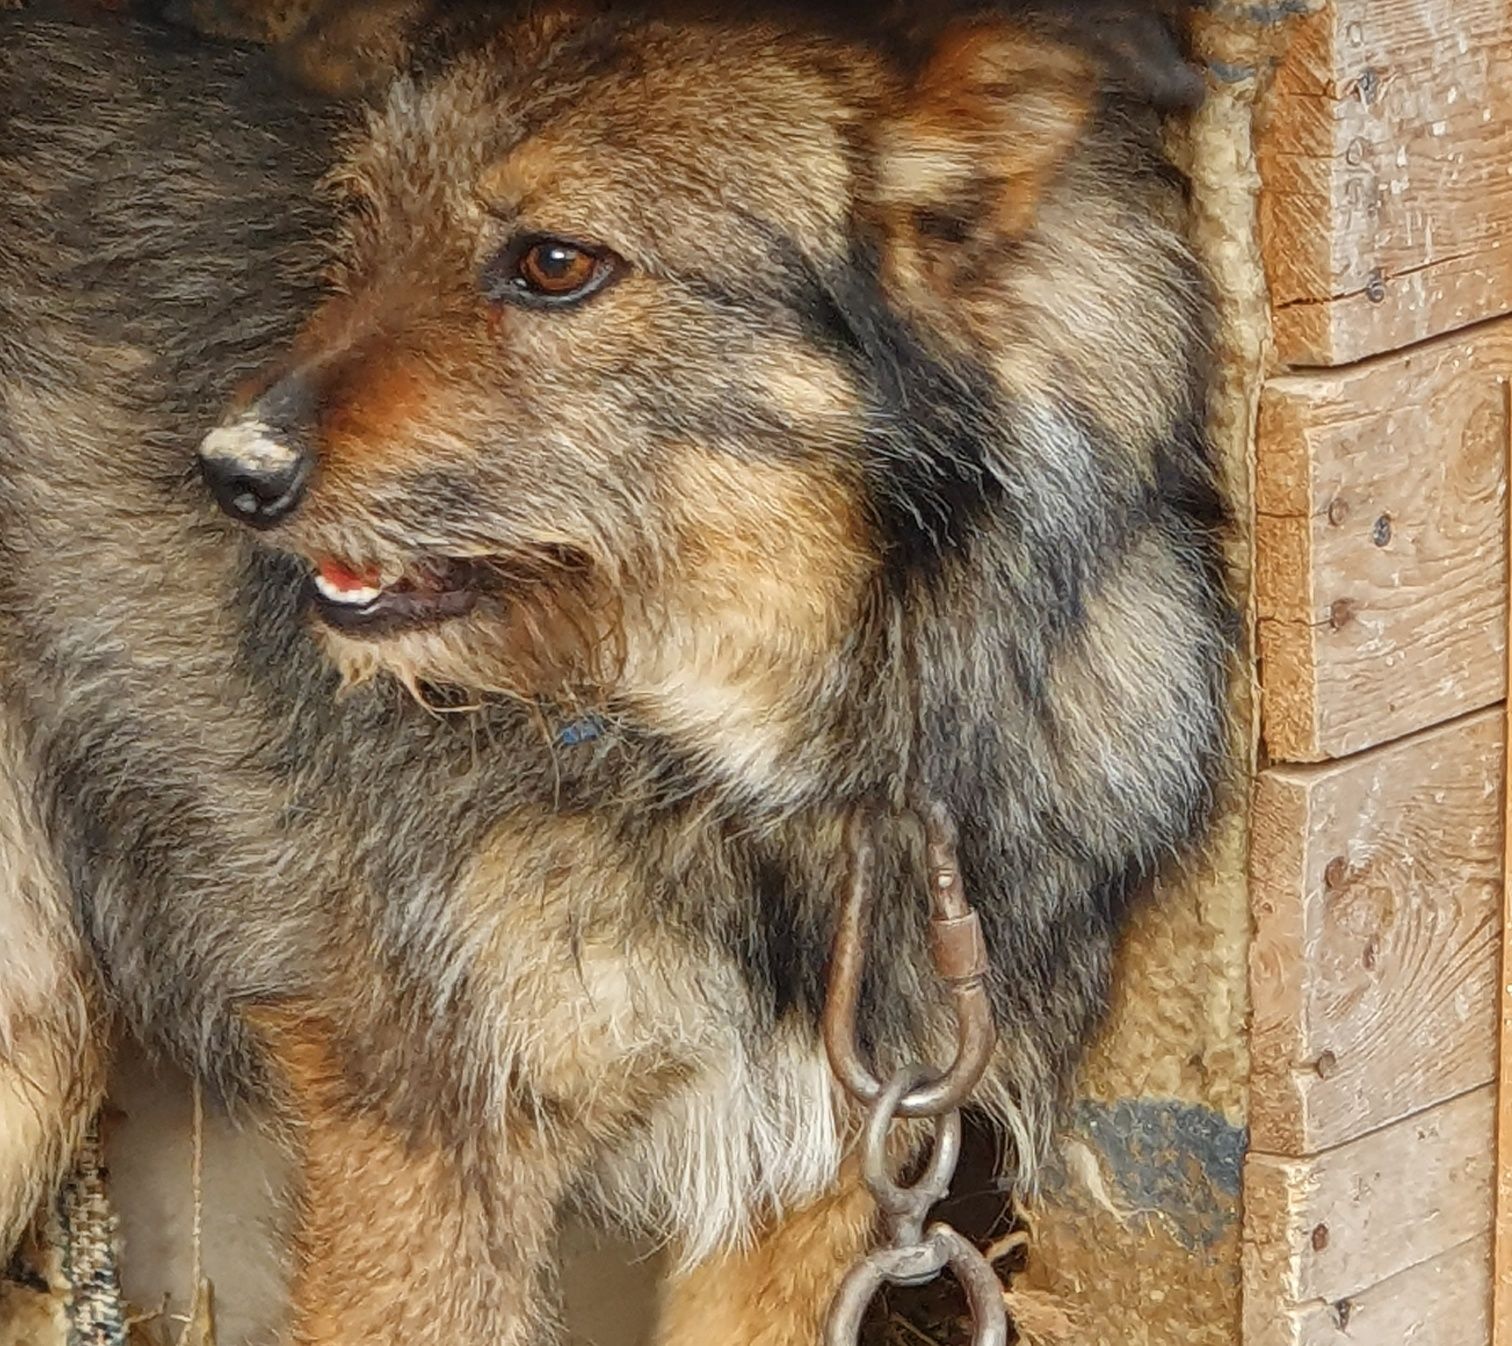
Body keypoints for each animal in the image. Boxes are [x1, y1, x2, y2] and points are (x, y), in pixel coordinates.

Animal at [0, 5, 1227, 1336]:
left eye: (554, 263)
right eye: (367, 217)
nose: (233, 470)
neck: (763, 767)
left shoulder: (827, 1170)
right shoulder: (427, 1140)